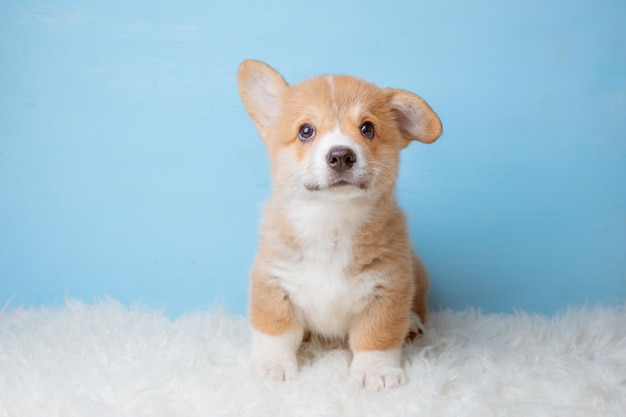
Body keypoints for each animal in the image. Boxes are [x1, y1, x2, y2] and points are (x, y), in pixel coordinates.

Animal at [236, 60, 442, 388]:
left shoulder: (389, 288)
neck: (330, 220)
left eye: (367, 128)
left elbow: (377, 337)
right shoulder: (273, 282)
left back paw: (411, 323)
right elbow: (276, 331)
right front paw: (272, 367)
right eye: (306, 131)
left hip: (418, 273)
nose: (341, 156)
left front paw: (376, 372)